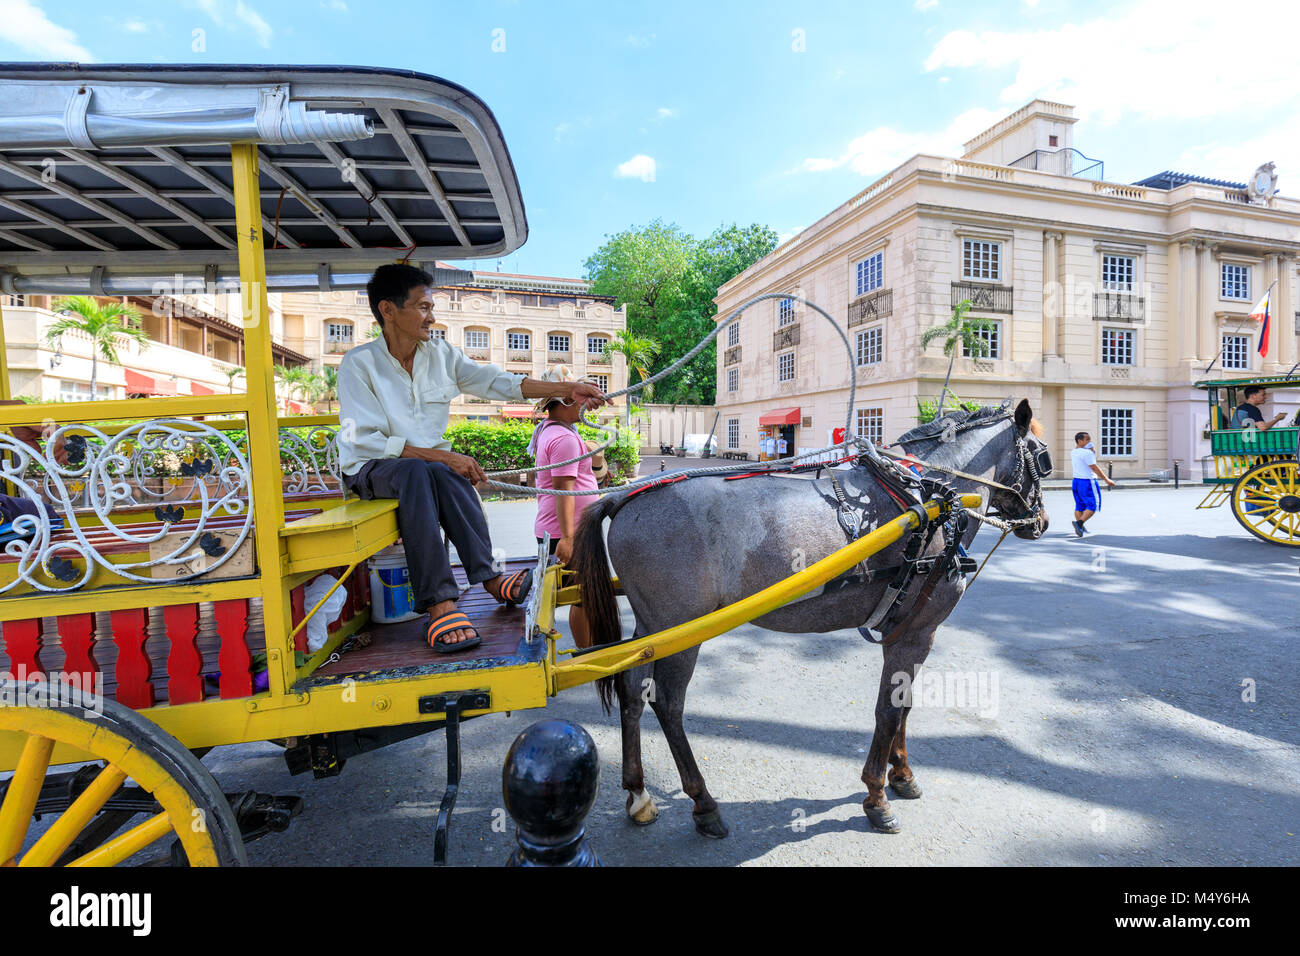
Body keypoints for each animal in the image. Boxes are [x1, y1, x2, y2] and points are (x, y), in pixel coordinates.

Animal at [574, 400, 1050, 832]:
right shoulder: (918, 631)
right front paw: (877, 797)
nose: (1041, 521)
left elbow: (904, 703)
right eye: (1042, 458)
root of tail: (621, 497)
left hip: (651, 628)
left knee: (633, 691)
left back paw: (639, 794)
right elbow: (888, 710)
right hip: (680, 630)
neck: (929, 498)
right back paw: (703, 802)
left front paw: (902, 775)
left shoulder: (906, 630)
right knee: (669, 704)